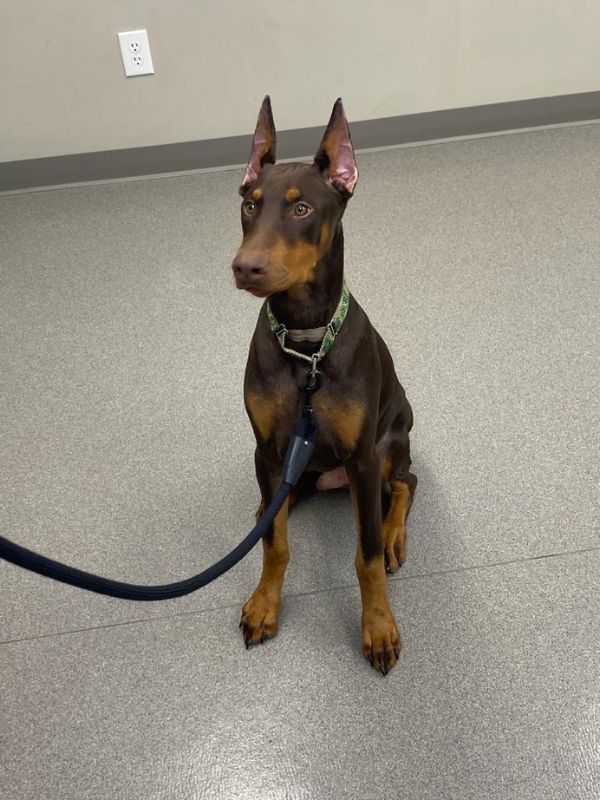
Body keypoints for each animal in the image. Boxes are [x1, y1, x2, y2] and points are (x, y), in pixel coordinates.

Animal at [232, 98, 414, 676]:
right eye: (250, 205)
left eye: (302, 210)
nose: (244, 267)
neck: (306, 346)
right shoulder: (267, 449)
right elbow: (274, 545)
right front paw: (265, 604)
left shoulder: (360, 455)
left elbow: (367, 555)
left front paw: (378, 627)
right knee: (279, 505)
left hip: (389, 441)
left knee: (406, 483)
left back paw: (396, 532)